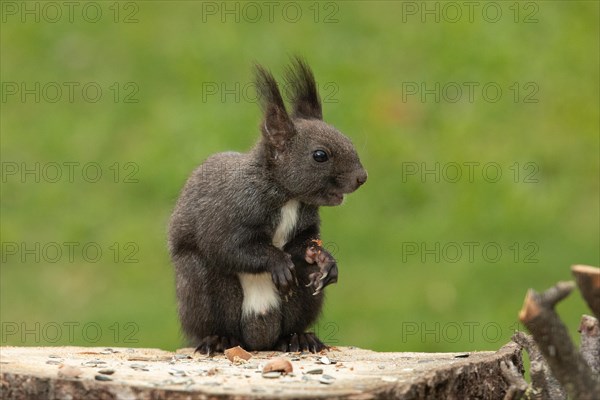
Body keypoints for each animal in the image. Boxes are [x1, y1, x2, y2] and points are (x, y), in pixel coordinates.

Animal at [166, 57, 368, 354]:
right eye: (320, 155)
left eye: (349, 140)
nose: (361, 177)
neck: (289, 198)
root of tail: (258, 340)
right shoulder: (229, 211)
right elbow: (228, 246)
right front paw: (278, 262)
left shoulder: (304, 227)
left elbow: (304, 244)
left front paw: (324, 260)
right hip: (202, 287)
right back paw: (219, 339)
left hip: (302, 299)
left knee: (290, 323)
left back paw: (299, 338)